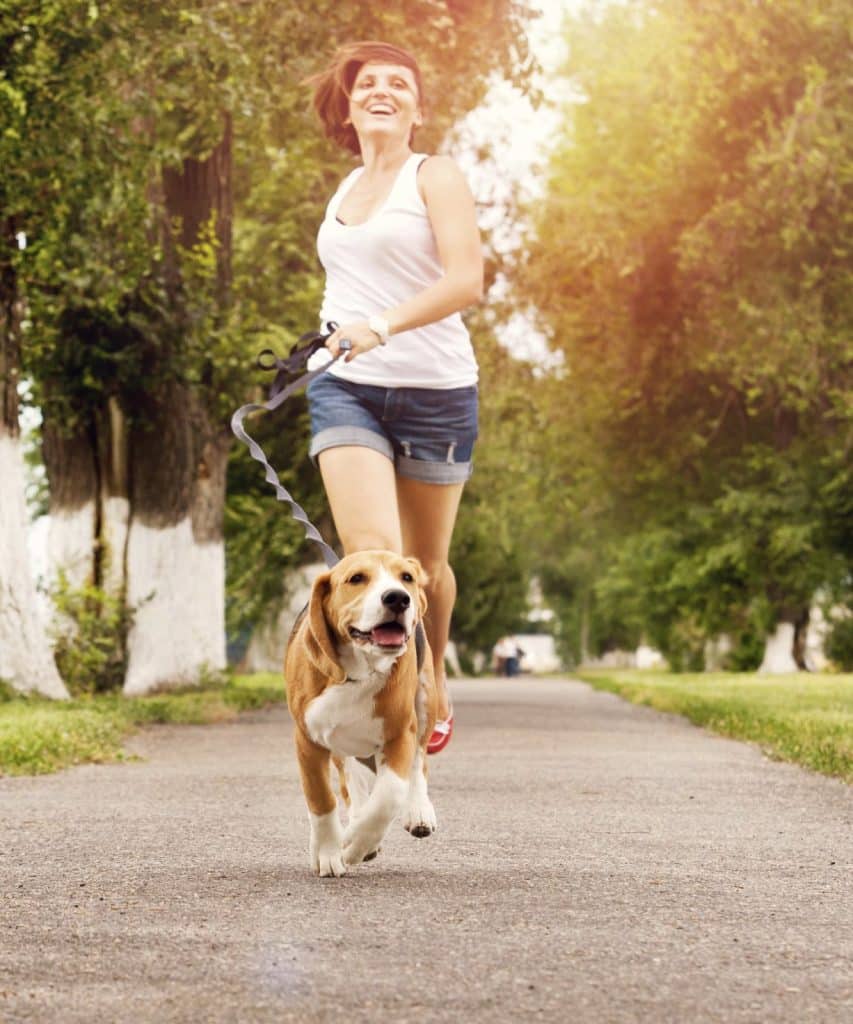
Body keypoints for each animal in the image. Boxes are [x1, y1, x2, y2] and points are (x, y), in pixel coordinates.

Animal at [286, 548, 438, 876]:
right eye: (356, 579)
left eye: (406, 577)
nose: (398, 598)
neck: (359, 671)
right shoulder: (307, 740)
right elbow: (321, 798)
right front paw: (329, 852)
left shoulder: (399, 734)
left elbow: (388, 796)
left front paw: (356, 844)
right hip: (339, 741)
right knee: (349, 779)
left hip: (425, 701)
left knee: (419, 761)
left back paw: (418, 811)